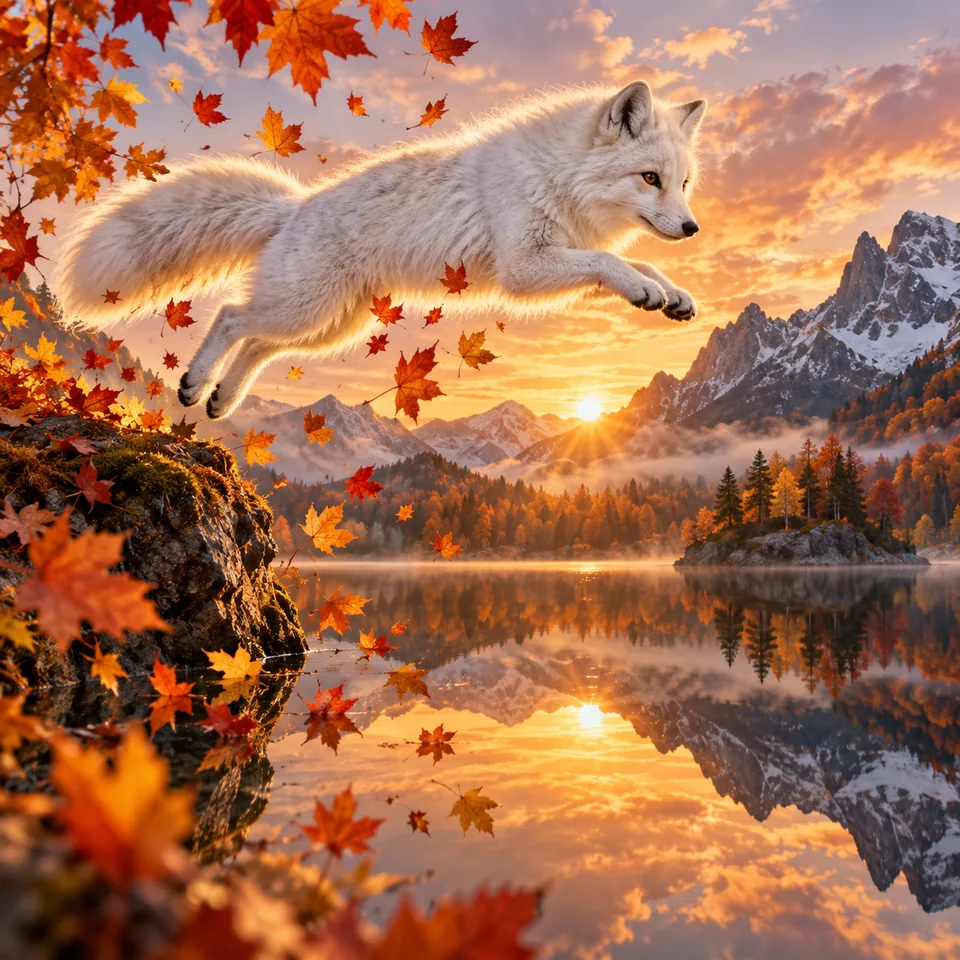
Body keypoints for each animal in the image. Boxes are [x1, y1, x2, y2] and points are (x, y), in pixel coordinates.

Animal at [55, 80, 707, 420]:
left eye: (683, 183)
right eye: (650, 178)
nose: (693, 228)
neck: (558, 176)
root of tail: (295, 208)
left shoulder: (559, 256)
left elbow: (632, 261)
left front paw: (670, 292)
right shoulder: (525, 267)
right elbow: (612, 262)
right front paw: (647, 288)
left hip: (327, 326)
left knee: (258, 344)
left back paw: (221, 399)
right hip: (305, 311)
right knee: (232, 317)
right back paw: (194, 384)